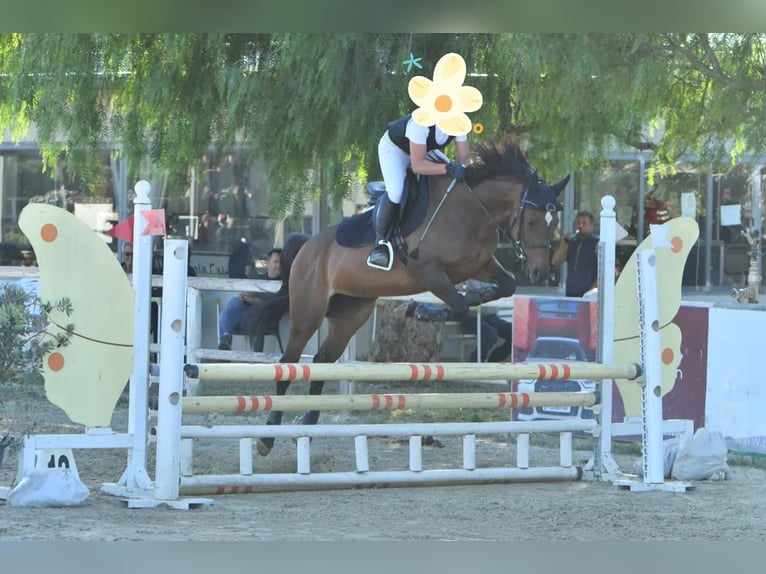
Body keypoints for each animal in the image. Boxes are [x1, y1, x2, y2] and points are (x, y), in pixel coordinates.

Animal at [244, 137, 568, 456]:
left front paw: (432, 308)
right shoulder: (427, 271)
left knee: (323, 360)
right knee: (288, 363)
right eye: (531, 222)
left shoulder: (479, 265)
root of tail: (307, 247)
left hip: (351, 314)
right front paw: (422, 311)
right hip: (308, 312)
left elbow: (503, 288)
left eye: (554, 222)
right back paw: (268, 436)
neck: (471, 211)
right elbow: (459, 306)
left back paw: (308, 425)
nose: (540, 273)